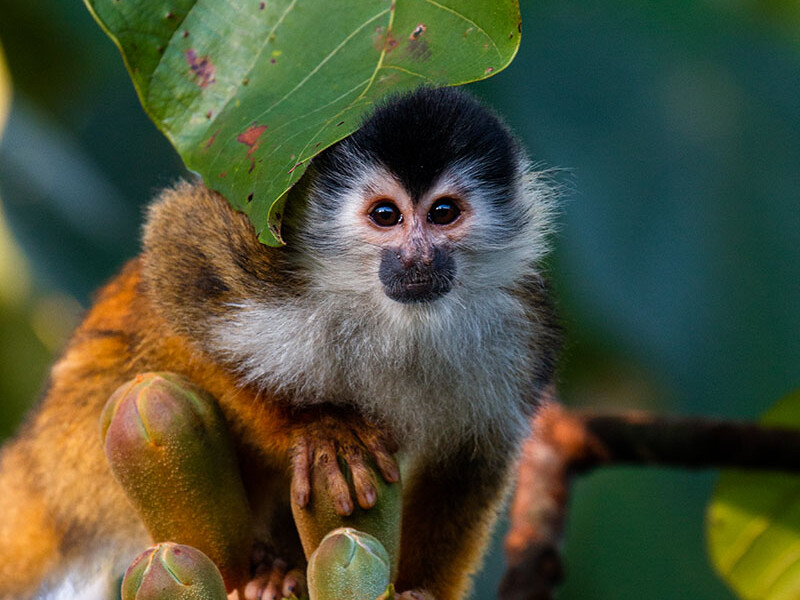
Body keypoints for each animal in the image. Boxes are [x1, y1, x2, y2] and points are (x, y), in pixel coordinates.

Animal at [0, 86, 561, 600]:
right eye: (386, 216)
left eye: (444, 212)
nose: (417, 258)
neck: (396, 318)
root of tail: (41, 462)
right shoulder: (272, 250)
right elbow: (177, 255)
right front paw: (315, 429)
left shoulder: (524, 330)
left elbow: (473, 459)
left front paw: (418, 591)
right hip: (81, 448)